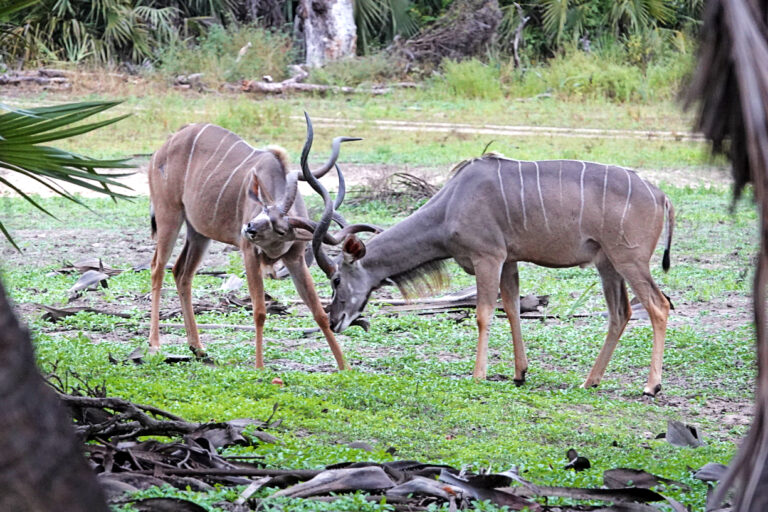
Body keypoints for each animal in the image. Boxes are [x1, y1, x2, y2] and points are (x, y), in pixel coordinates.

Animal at [148, 116, 362, 368]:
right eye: (265, 209)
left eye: (280, 229)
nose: (248, 228)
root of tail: (164, 147)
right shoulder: (249, 252)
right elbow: (259, 310)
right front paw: (259, 367)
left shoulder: (295, 259)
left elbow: (318, 311)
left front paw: (345, 367)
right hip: (169, 214)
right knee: (157, 268)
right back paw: (155, 345)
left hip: (199, 232)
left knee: (182, 272)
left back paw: (198, 349)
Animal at [304, 154, 676, 394]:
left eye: (336, 279)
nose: (334, 320)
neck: (452, 203)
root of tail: (662, 196)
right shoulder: (508, 262)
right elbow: (510, 308)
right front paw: (519, 374)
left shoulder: (488, 258)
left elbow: (483, 312)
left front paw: (478, 375)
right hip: (607, 264)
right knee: (620, 313)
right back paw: (590, 381)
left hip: (628, 260)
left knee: (658, 305)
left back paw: (651, 386)